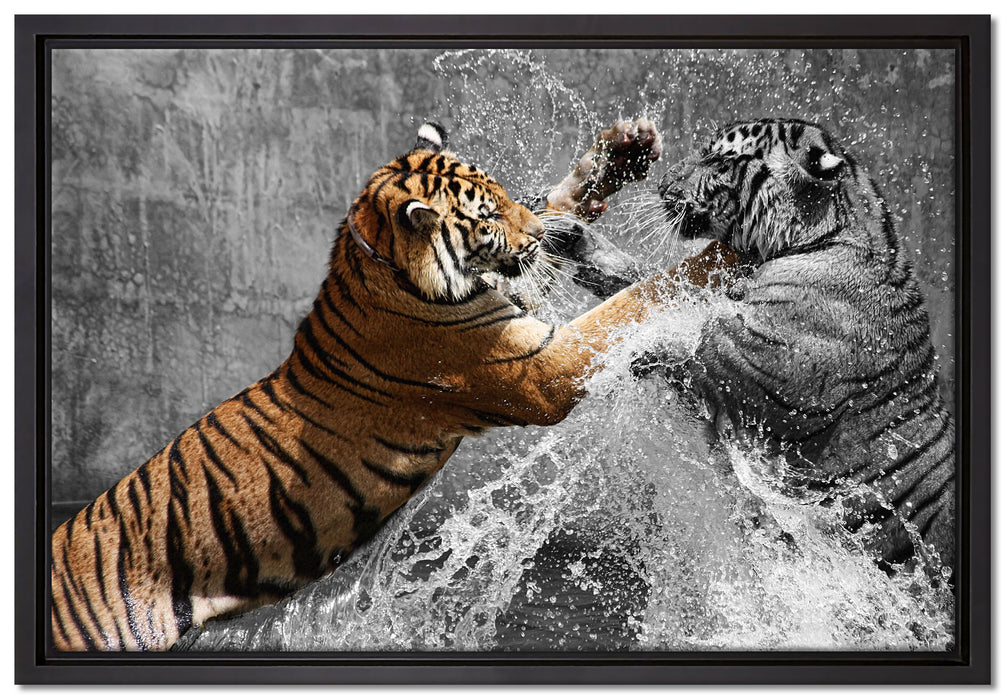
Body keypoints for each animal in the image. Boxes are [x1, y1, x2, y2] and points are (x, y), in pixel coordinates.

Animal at [50, 120, 738, 651]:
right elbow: (634, 299)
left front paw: (622, 151)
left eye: (504, 194)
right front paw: (723, 256)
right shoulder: (539, 367)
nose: (537, 238)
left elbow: (562, 211)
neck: (380, 264)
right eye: (488, 215)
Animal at [577, 118, 954, 576]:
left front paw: (624, 356)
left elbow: (688, 332)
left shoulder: (756, 365)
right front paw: (578, 242)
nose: (663, 183)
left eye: (720, 160)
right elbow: (658, 292)